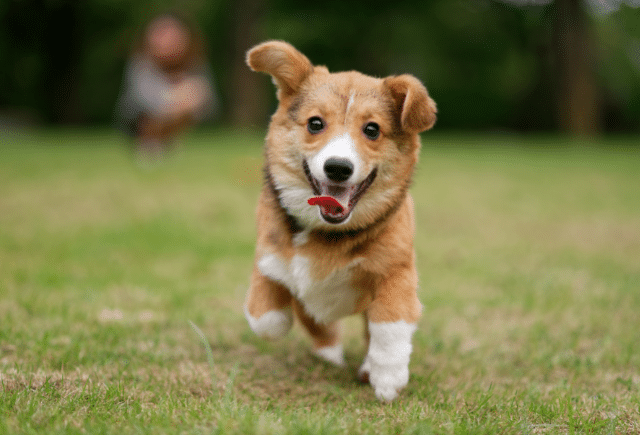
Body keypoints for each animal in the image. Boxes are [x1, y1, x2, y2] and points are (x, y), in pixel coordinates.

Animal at [242, 41, 438, 402]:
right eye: (315, 124)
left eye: (372, 129)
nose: (337, 167)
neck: (329, 232)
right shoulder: (267, 253)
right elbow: (269, 317)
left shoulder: (395, 272)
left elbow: (389, 326)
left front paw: (387, 377)